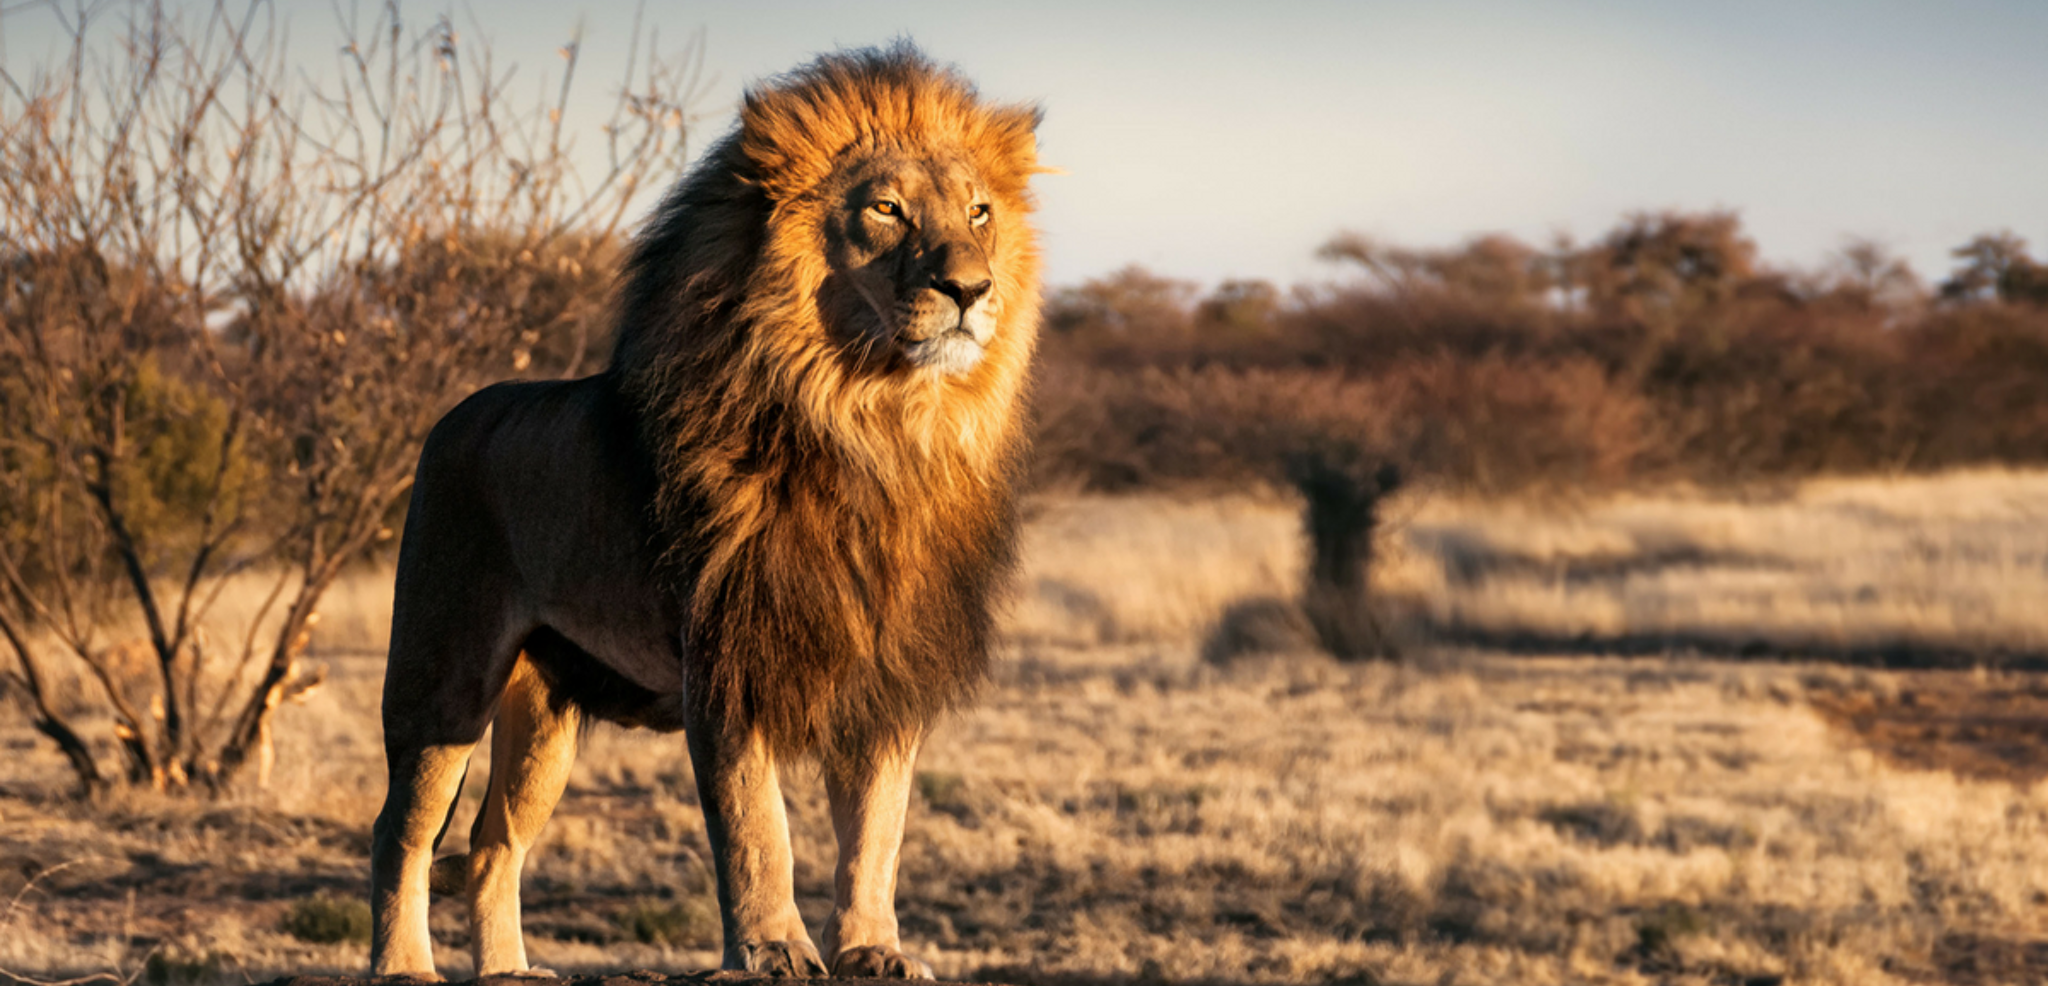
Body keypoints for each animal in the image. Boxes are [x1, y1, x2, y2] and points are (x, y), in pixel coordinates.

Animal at [367, 44, 1045, 979]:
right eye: (886, 208)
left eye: (980, 212)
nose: (971, 288)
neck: (874, 426)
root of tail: (453, 414)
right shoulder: (725, 659)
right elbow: (758, 827)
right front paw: (774, 948)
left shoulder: (885, 671)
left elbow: (877, 830)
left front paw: (873, 948)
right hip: (444, 677)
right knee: (401, 830)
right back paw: (402, 964)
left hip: (545, 713)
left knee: (493, 842)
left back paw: (509, 968)